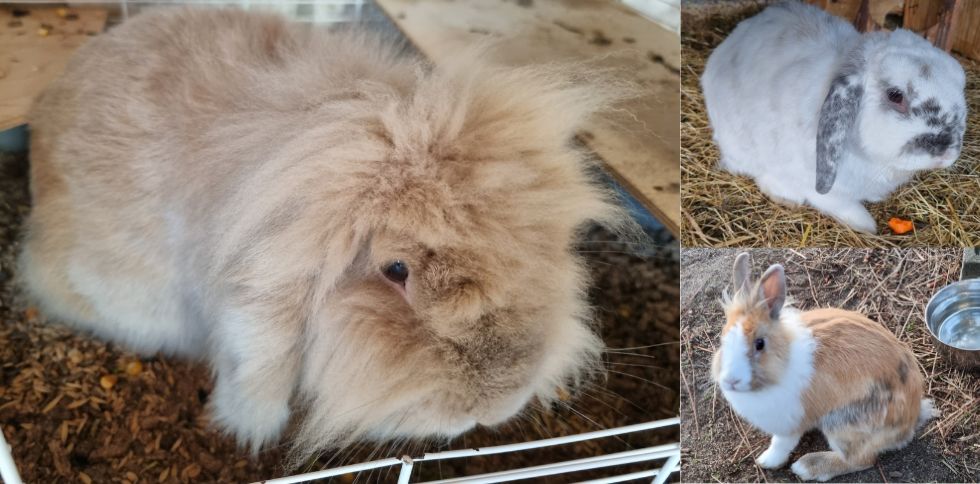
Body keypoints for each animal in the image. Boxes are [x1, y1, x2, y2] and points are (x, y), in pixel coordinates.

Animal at [701, 1, 967, 234]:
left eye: (961, 86)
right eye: (895, 95)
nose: (948, 154)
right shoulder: (820, 188)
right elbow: (838, 204)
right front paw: (867, 225)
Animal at [712, 252, 937, 482]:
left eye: (760, 344)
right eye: (722, 339)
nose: (730, 380)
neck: (783, 361)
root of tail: (911, 418)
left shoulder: (790, 423)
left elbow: (781, 444)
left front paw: (766, 461)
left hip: (843, 423)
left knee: (862, 459)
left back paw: (806, 466)